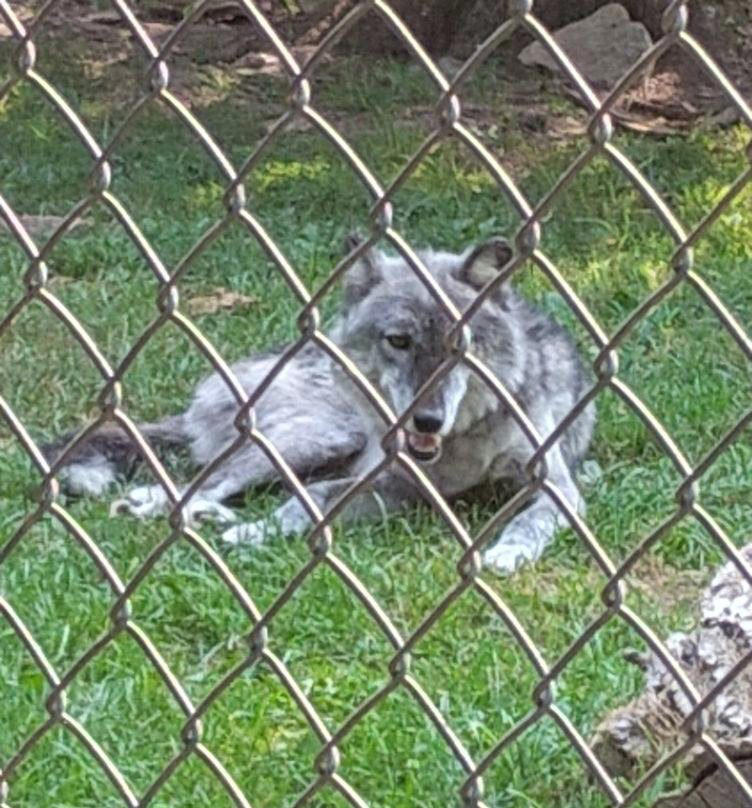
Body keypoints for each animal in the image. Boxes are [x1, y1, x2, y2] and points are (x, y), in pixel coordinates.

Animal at [45, 236, 595, 573]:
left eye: (460, 348)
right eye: (399, 341)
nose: (428, 419)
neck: (461, 445)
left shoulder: (556, 489)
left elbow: (529, 520)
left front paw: (510, 552)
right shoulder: (395, 486)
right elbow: (308, 502)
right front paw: (259, 531)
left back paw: (205, 516)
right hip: (319, 438)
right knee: (207, 480)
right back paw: (161, 504)